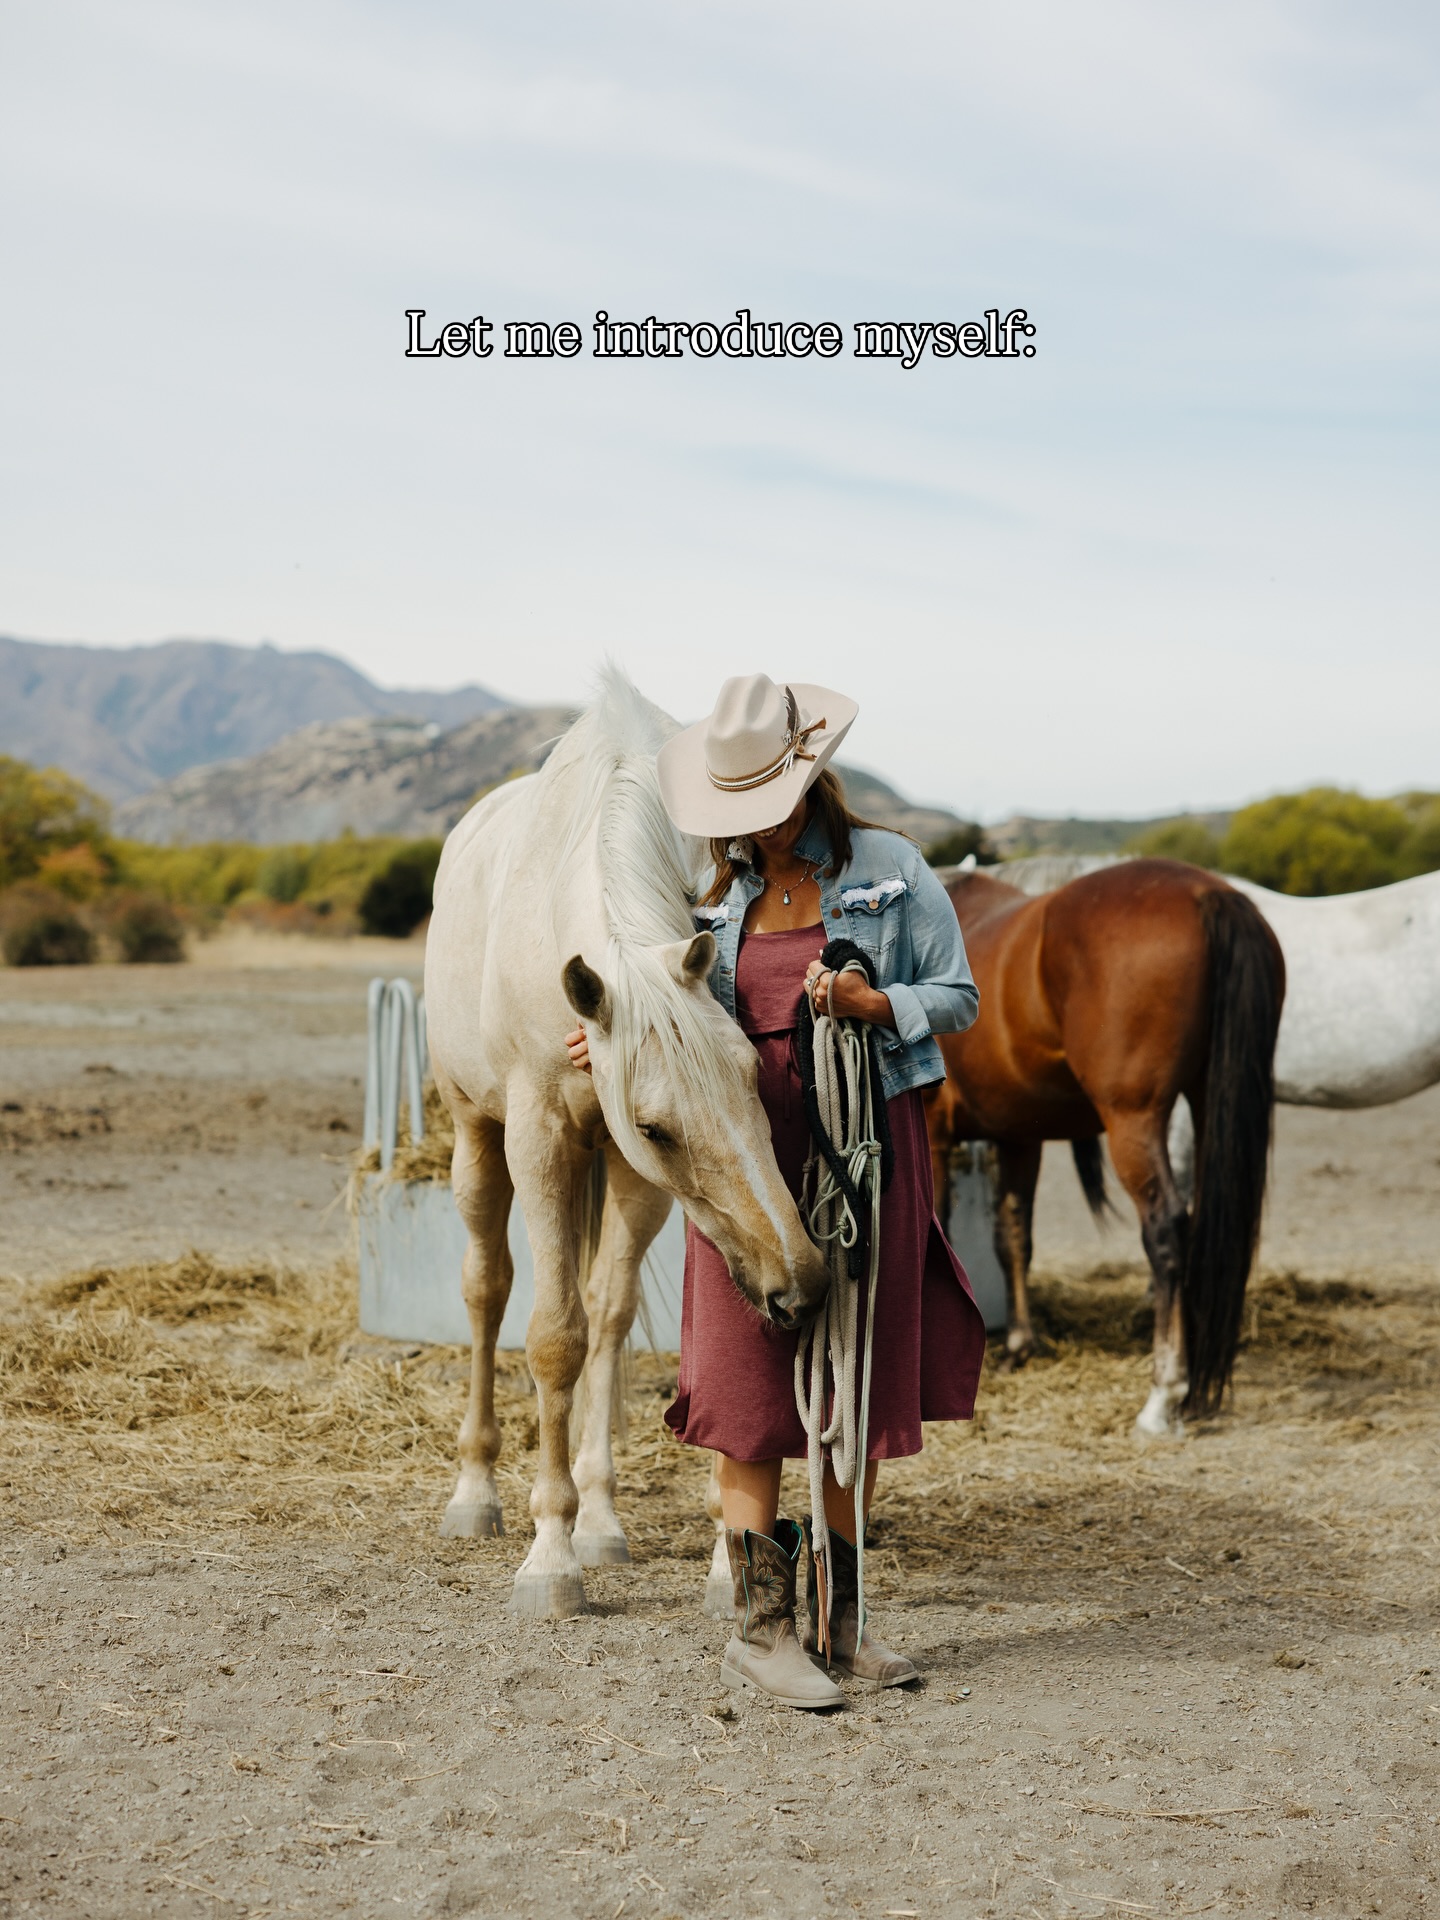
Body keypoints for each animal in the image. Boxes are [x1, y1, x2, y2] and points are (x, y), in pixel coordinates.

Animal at [424, 670, 828, 1617]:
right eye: (658, 1126)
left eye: (756, 1081)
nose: (803, 1282)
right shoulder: (543, 1137)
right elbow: (551, 1338)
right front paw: (548, 1558)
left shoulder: (637, 1177)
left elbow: (608, 1324)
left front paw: (647, 1539)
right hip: (475, 1138)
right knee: (487, 1292)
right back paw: (477, 1495)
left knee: (603, 1312)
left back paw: (602, 1519)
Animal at [924, 860, 1285, 1437]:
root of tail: (1205, 893)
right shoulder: (1018, 1138)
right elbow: (1013, 1237)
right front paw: (1020, 1343)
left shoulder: (935, 1131)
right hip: (1212, 1100)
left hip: (1133, 1121)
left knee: (1167, 1232)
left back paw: (1164, 1394)